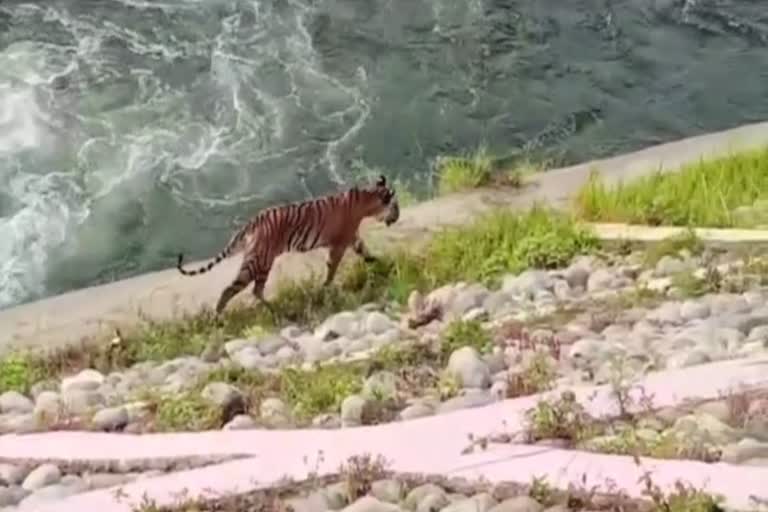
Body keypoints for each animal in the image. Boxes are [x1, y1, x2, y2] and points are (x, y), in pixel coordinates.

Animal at [176, 174, 400, 314]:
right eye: (396, 207)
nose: (397, 216)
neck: (366, 200)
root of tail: (253, 220)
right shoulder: (339, 244)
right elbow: (332, 269)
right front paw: (326, 287)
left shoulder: (352, 238)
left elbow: (367, 253)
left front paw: (384, 264)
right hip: (258, 262)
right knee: (231, 289)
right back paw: (219, 316)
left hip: (262, 263)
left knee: (256, 290)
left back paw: (273, 309)